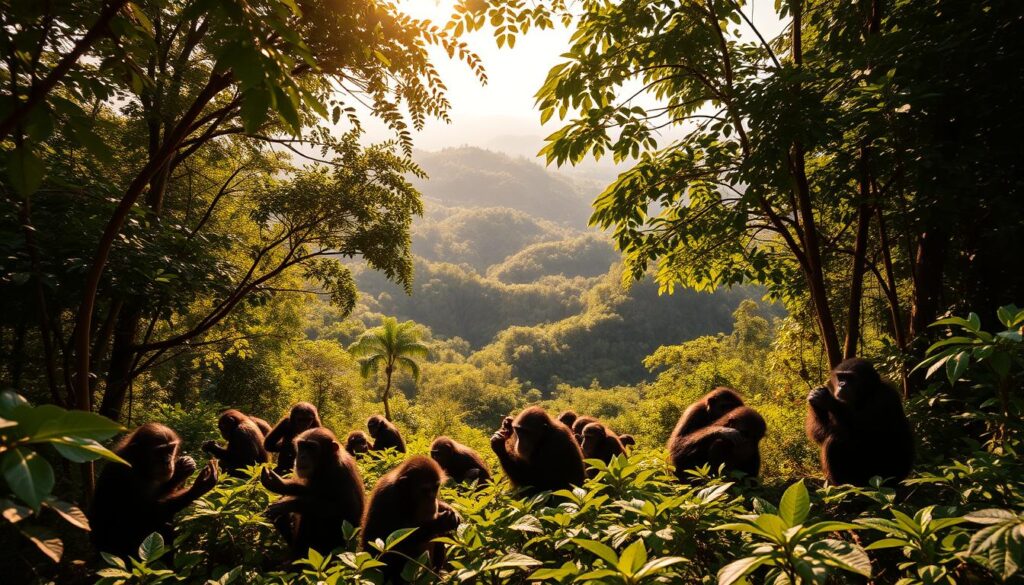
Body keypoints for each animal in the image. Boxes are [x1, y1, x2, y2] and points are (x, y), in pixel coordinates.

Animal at [92, 424, 220, 557]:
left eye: (170, 449)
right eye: (160, 452)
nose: (167, 460)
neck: (141, 466)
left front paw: (183, 466)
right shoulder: (126, 475)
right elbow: (145, 514)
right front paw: (198, 485)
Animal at [260, 426, 364, 557]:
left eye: (311, 448)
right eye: (302, 446)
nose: (302, 456)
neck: (325, 465)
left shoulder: (340, 474)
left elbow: (346, 510)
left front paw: (288, 504)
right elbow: (308, 490)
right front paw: (278, 484)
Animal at [802, 356, 917, 485]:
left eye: (850, 378)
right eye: (841, 377)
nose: (842, 384)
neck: (865, 395)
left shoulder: (884, 399)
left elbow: (867, 434)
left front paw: (828, 400)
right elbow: (819, 433)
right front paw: (815, 401)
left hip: (880, 477)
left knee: (835, 440)